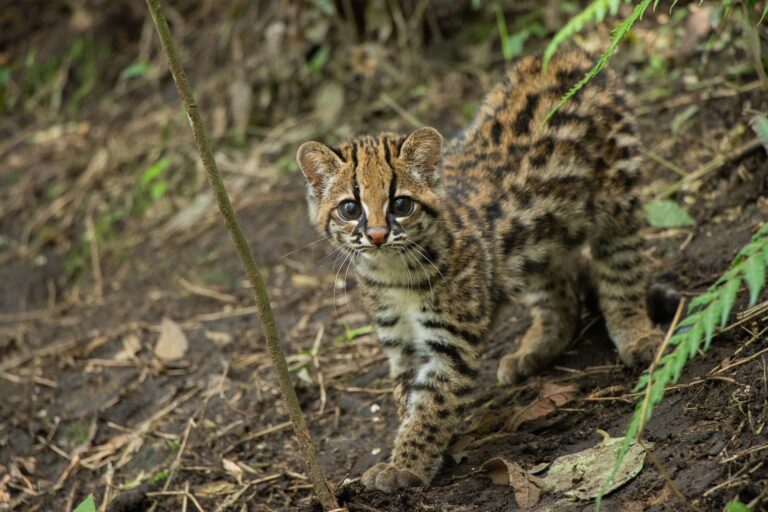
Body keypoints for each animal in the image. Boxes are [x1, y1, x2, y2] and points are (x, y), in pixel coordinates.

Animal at [296, 51, 664, 492]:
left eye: (401, 204)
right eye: (350, 209)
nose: (378, 234)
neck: (395, 273)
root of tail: (564, 55)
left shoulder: (452, 344)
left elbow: (432, 405)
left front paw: (406, 464)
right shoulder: (401, 343)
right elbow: (409, 398)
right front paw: (410, 447)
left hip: (617, 197)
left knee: (622, 267)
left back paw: (634, 333)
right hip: (542, 232)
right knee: (557, 284)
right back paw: (538, 347)